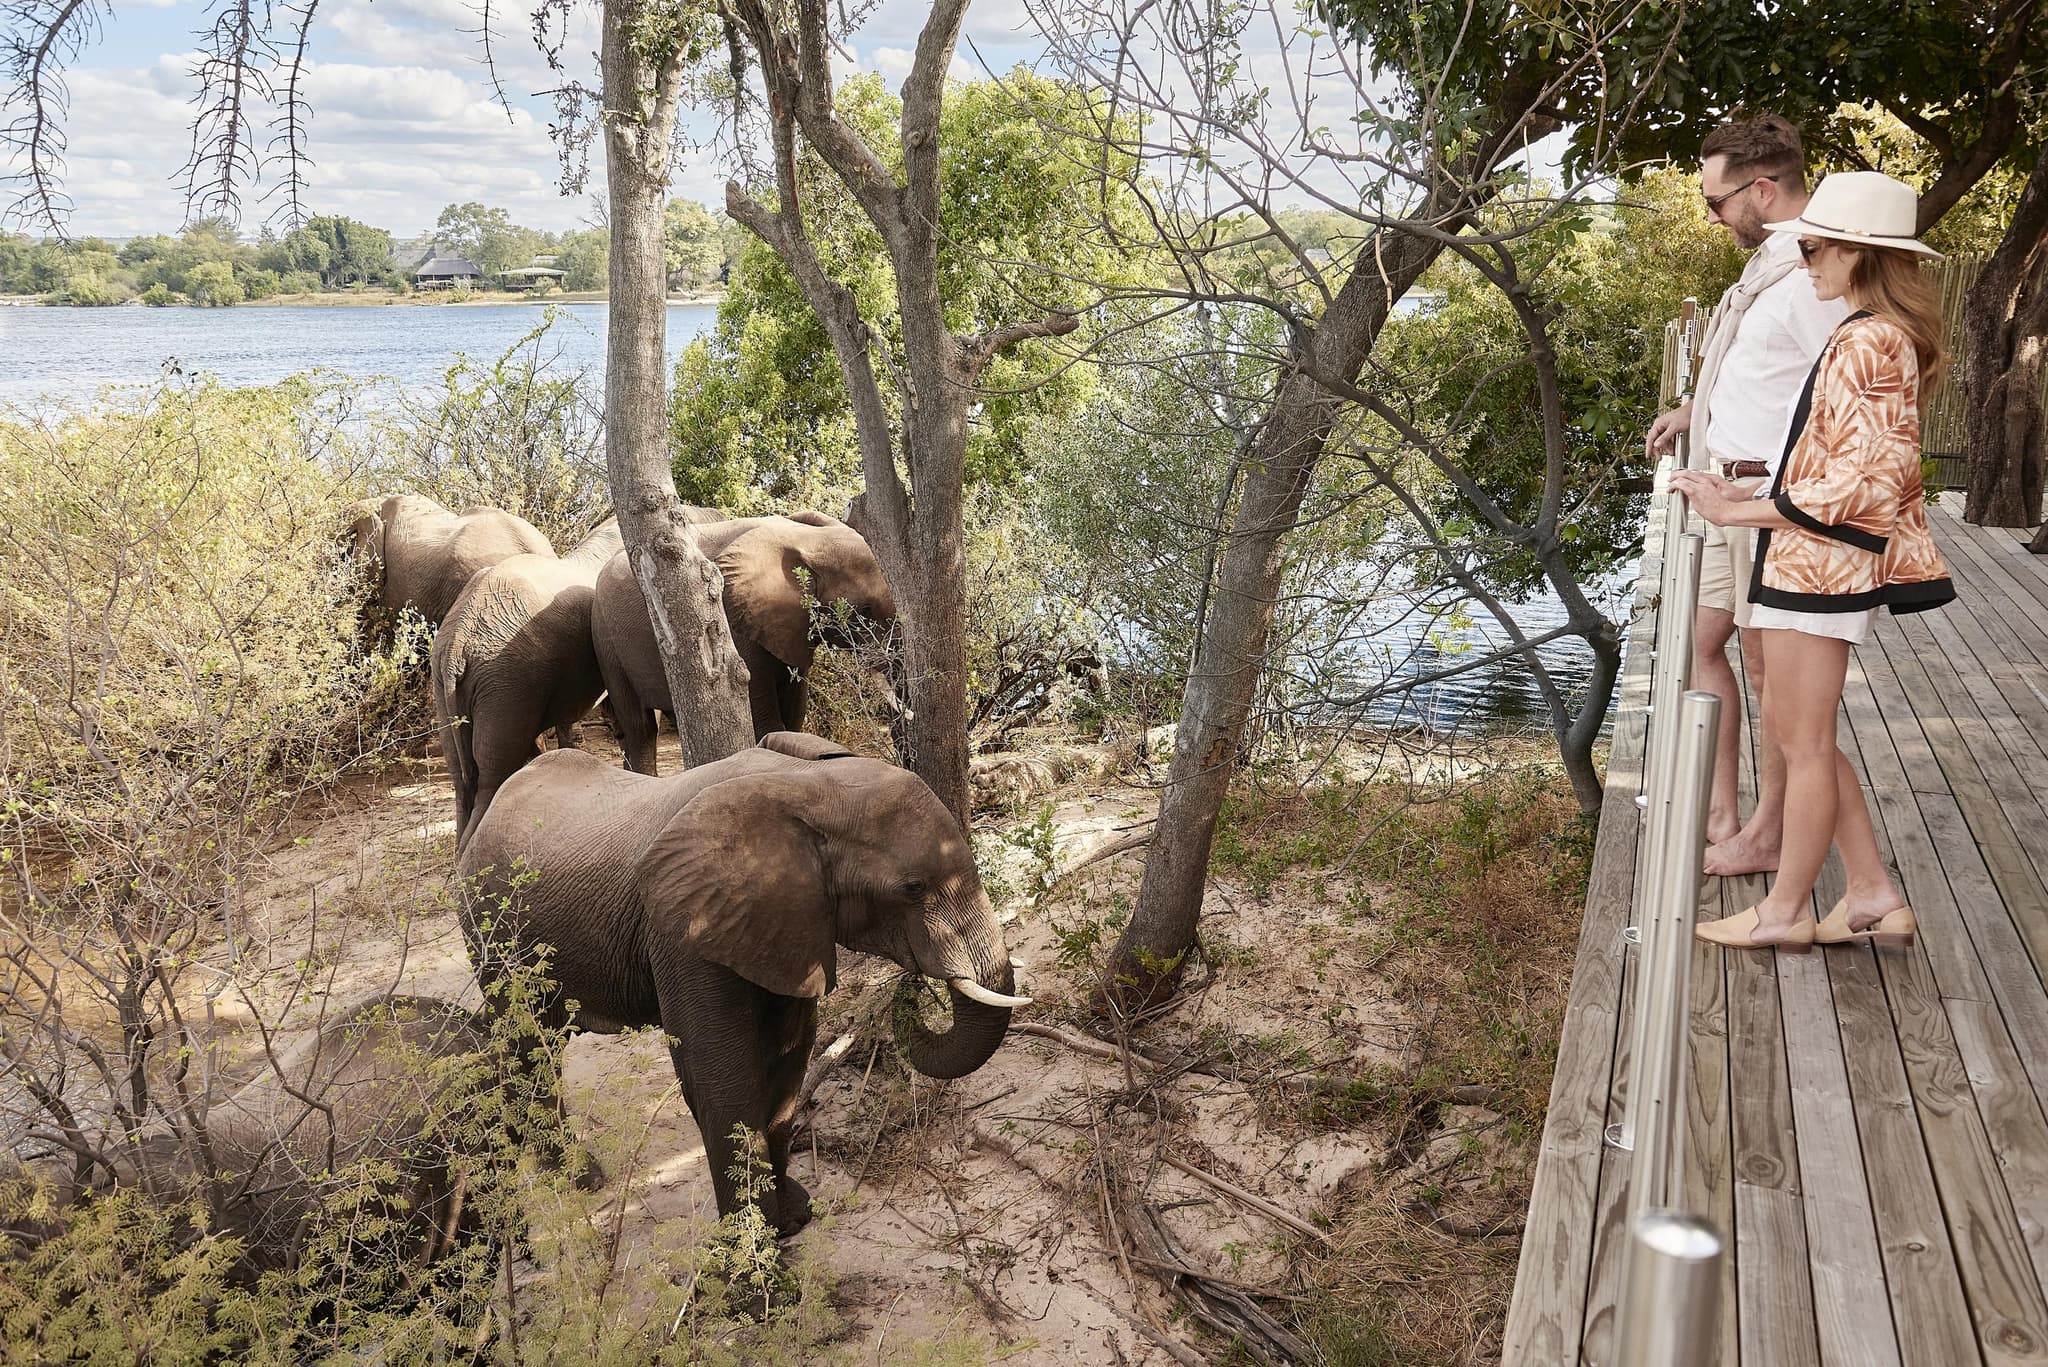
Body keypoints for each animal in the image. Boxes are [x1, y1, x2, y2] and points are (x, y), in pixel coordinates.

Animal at [455, 731, 1029, 1236]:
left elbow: (787, 1061)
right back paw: (578, 1178)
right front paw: (756, 1267)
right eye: (912, 889)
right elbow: (722, 1080)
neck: (808, 786)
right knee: (530, 1042)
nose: (912, 987)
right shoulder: (685, 929)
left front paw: (792, 1218)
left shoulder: (786, 924)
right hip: (490, 928)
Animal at [590, 512, 897, 774]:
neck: (807, 539)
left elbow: (794, 711)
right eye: (865, 611)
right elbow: (765, 718)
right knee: (639, 728)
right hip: (606, 641)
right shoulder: (732, 620)